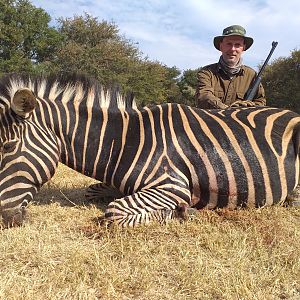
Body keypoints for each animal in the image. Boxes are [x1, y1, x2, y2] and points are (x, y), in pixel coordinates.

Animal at [0, 73, 298, 227]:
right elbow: (93, 191)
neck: (124, 143)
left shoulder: (172, 185)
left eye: (7, 146)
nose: (4, 219)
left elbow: (114, 212)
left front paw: (184, 211)